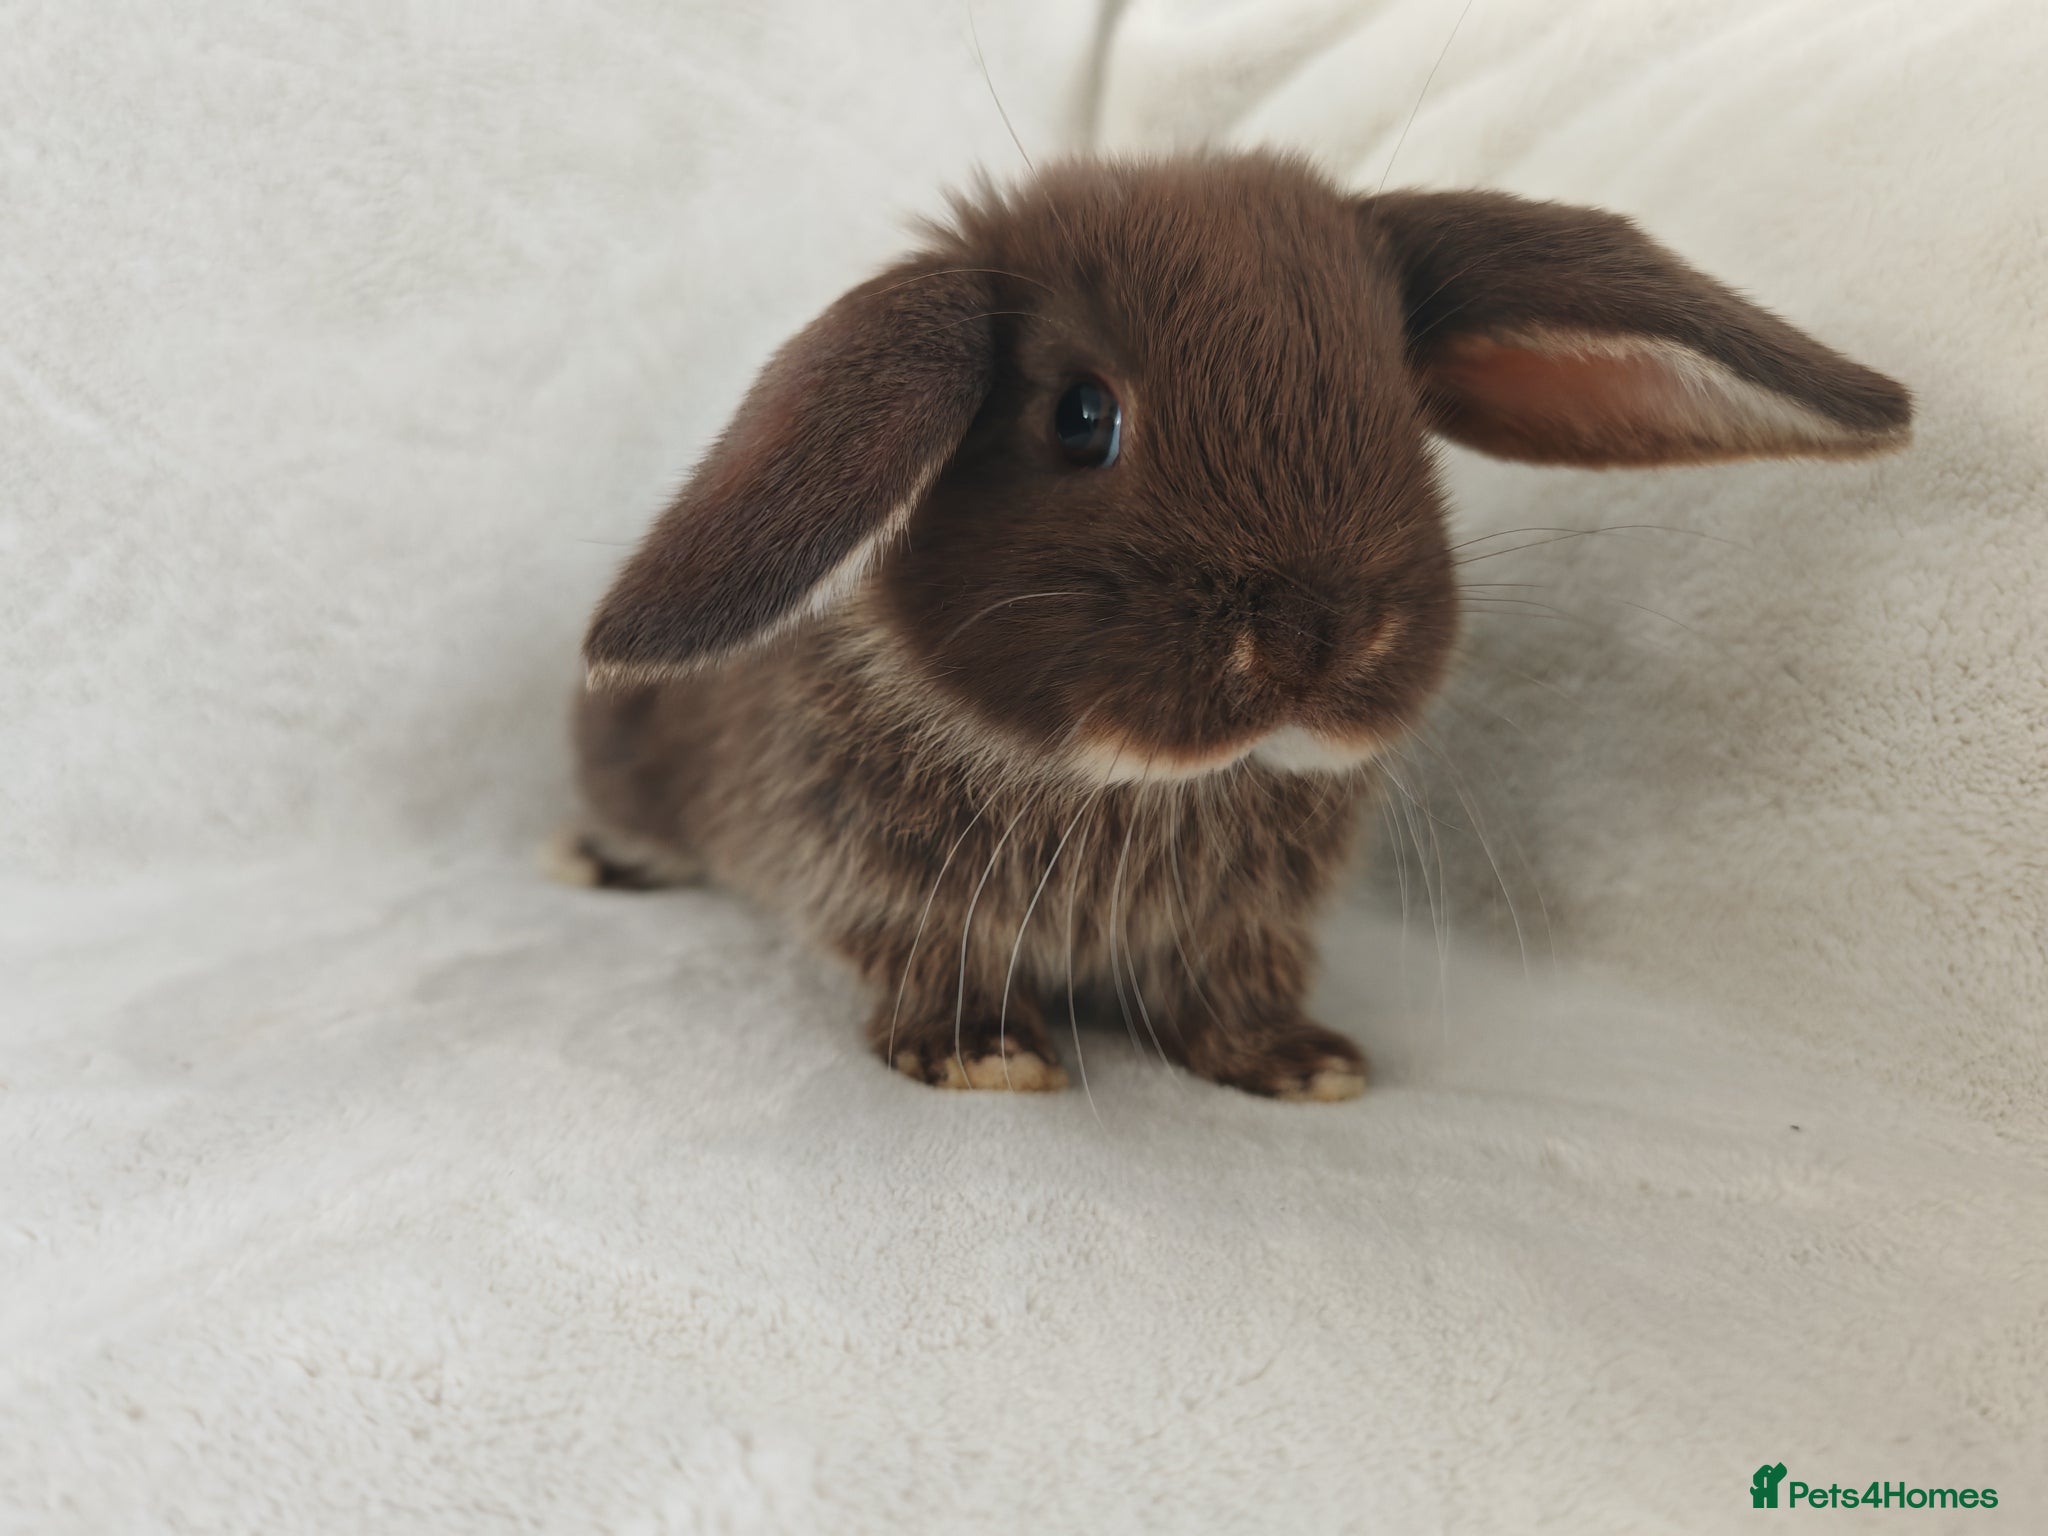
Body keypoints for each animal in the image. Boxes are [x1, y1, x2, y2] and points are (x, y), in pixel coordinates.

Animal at [558, 152, 1910, 1099]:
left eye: (1401, 412)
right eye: (1080, 416)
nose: (1316, 642)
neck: (1134, 786)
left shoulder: (1239, 929)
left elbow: (1229, 997)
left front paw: (1306, 1066)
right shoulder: (884, 888)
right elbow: (929, 967)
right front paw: (986, 1056)